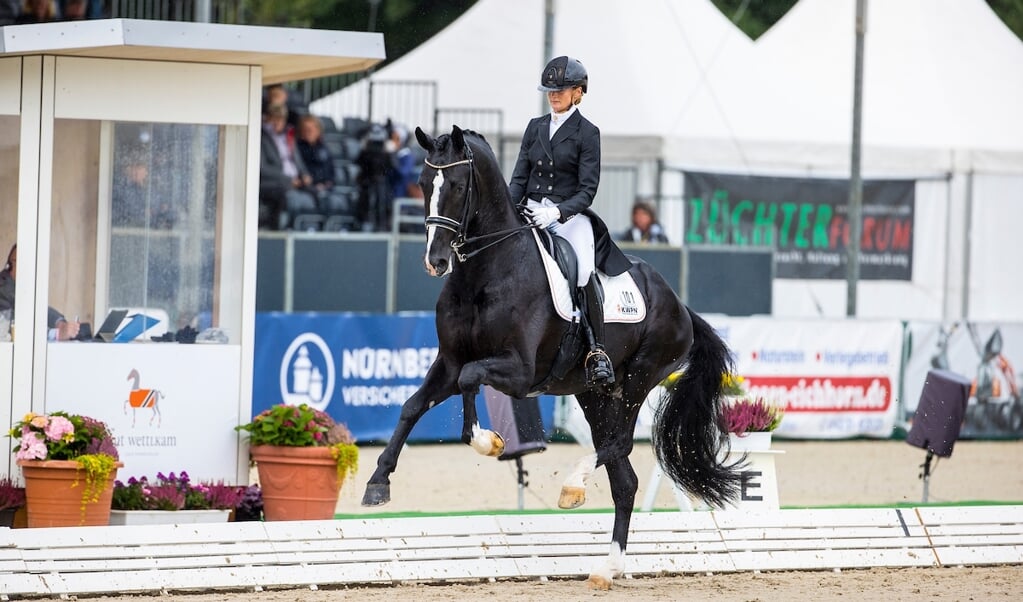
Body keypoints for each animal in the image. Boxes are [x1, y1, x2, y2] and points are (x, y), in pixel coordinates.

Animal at [362, 124, 744, 589]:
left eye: (457, 186)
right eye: (420, 183)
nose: (435, 261)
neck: (486, 272)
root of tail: (678, 303)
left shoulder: (520, 372)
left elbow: (472, 378)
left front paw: (487, 440)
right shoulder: (448, 363)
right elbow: (412, 405)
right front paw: (378, 483)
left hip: (636, 380)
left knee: (618, 444)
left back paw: (574, 485)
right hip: (594, 394)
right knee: (624, 478)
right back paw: (607, 567)